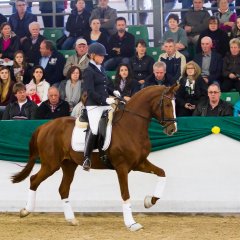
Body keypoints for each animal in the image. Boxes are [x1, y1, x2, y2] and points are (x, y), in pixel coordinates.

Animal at [12, 84, 179, 231]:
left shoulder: (140, 163)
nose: (172, 129)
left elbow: (162, 173)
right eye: (167, 105)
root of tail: (44, 126)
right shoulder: (122, 167)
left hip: (68, 164)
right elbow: (125, 194)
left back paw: (71, 219)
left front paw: (149, 201)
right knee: (34, 180)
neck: (131, 126)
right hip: (50, 164)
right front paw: (132, 224)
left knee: (63, 189)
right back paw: (25, 211)